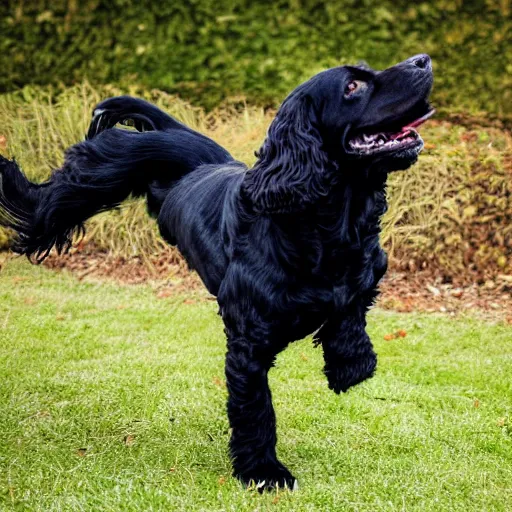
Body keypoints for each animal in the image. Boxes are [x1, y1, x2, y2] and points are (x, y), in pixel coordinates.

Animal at [0, 54, 434, 490]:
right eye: (352, 87)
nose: (422, 61)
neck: (322, 225)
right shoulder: (247, 343)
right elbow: (256, 410)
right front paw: (264, 472)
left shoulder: (367, 269)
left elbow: (351, 306)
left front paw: (351, 364)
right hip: (94, 177)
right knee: (42, 202)